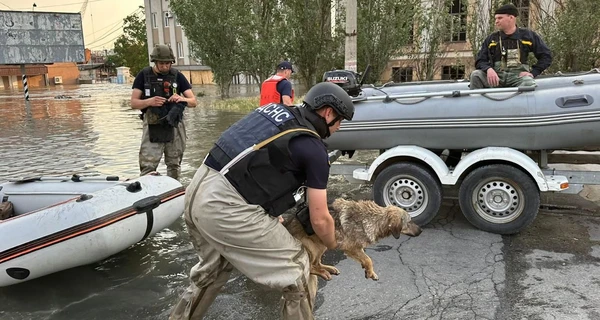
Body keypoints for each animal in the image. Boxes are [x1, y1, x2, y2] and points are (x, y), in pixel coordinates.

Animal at [286, 199, 422, 282]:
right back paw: (323, 272)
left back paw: (329, 269)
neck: (374, 220)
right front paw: (370, 272)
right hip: (313, 247)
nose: (421, 231)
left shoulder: (357, 248)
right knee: (310, 267)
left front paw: (368, 271)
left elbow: (365, 259)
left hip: (322, 244)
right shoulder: (350, 248)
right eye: (409, 222)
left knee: (317, 263)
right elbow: (369, 259)